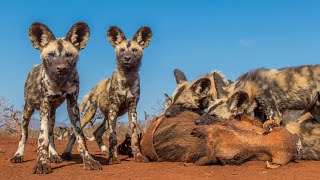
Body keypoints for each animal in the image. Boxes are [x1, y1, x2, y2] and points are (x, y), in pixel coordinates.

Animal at [10, 21, 101, 174]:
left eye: (69, 55)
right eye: (51, 55)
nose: (61, 68)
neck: (60, 83)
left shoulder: (72, 105)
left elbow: (80, 136)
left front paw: (88, 160)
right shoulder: (44, 105)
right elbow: (42, 138)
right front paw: (41, 163)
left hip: (52, 115)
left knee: (51, 134)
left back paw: (53, 155)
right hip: (27, 111)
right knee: (24, 135)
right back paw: (18, 155)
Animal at [62, 25, 154, 165]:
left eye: (134, 50)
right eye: (122, 50)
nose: (127, 58)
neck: (127, 78)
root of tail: (96, 85)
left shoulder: (132, 109)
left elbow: (134, 136)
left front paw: (138, 156)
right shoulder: (114, 108)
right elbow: (113, 137)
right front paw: (114, 158)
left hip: (107, 117)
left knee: (97, 132)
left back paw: (105, 151)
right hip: (92, 113)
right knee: (75, 132)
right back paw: (66, 153)